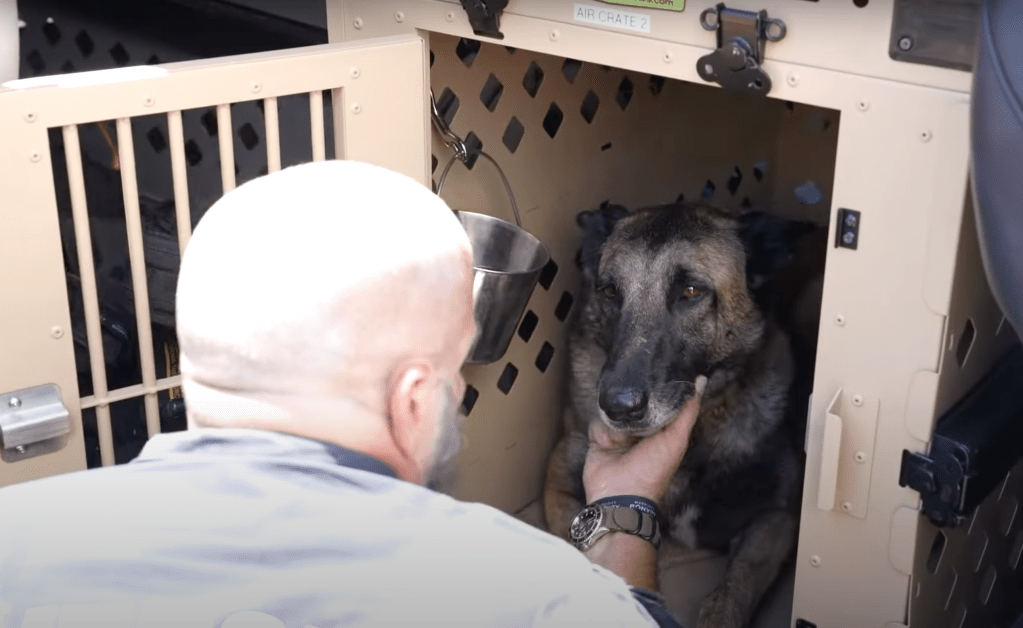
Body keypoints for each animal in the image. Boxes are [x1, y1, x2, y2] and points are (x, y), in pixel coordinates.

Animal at [544, 201, 822, 628]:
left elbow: (734, 586)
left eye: (691, 291)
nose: (617, 406)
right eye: (610, 291)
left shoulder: (778, 518)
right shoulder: (558, 485)